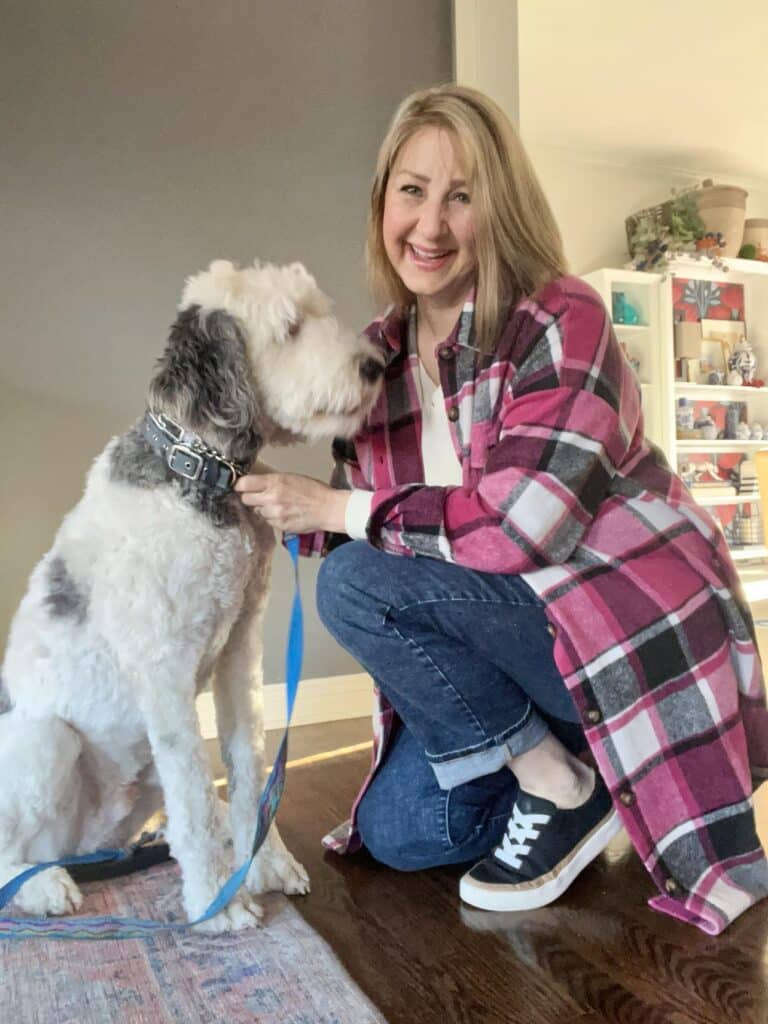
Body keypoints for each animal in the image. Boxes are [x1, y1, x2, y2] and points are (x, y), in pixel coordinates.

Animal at [0, 260, 385, 933]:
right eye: (289, 327)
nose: (375, 365)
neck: (201, 473)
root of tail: (81, 849)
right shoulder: (164, 671)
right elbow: (197, 796)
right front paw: (217, 903)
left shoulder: (239, 648)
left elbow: (248, 763)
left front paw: (265, 865)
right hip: (46, 739)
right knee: (9, 853)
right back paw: (45, 886)